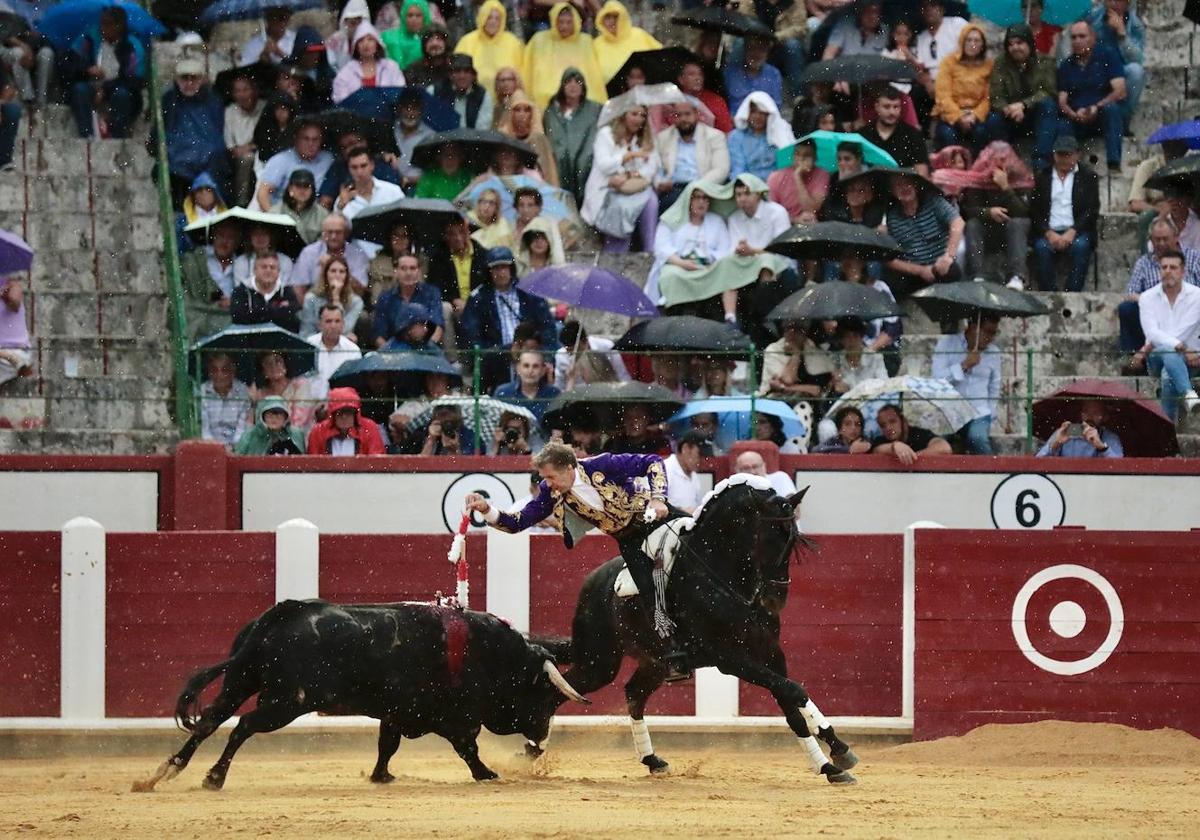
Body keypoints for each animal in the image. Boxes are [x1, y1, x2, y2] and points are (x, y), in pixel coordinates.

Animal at [132, 600, 590, 792]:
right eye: (545, 697)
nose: (540, 743)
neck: (489, 653)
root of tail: (281, 614)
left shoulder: (397, 712)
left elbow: (387, 744)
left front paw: (381, 776)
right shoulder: (451, 718)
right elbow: (467, 748)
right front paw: (487, 774)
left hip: (241, 682)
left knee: (210, 720)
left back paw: (163, 772)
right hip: (286, 702)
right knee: (242, 726)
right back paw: (213, 777)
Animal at [530, 480, 859, 787]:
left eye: (793, 541)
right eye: (772, 537)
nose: (775, 599)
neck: (722, 573)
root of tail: (591, 582)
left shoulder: (770, 651)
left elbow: (792, 703)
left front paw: (833, 758)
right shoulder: (730, 659)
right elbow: (794, 691)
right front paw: (833, 758)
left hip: (653, 662)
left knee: (633, 693)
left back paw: (653, 760)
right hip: (599, 662)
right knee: (558, 690)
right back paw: (533, 747)